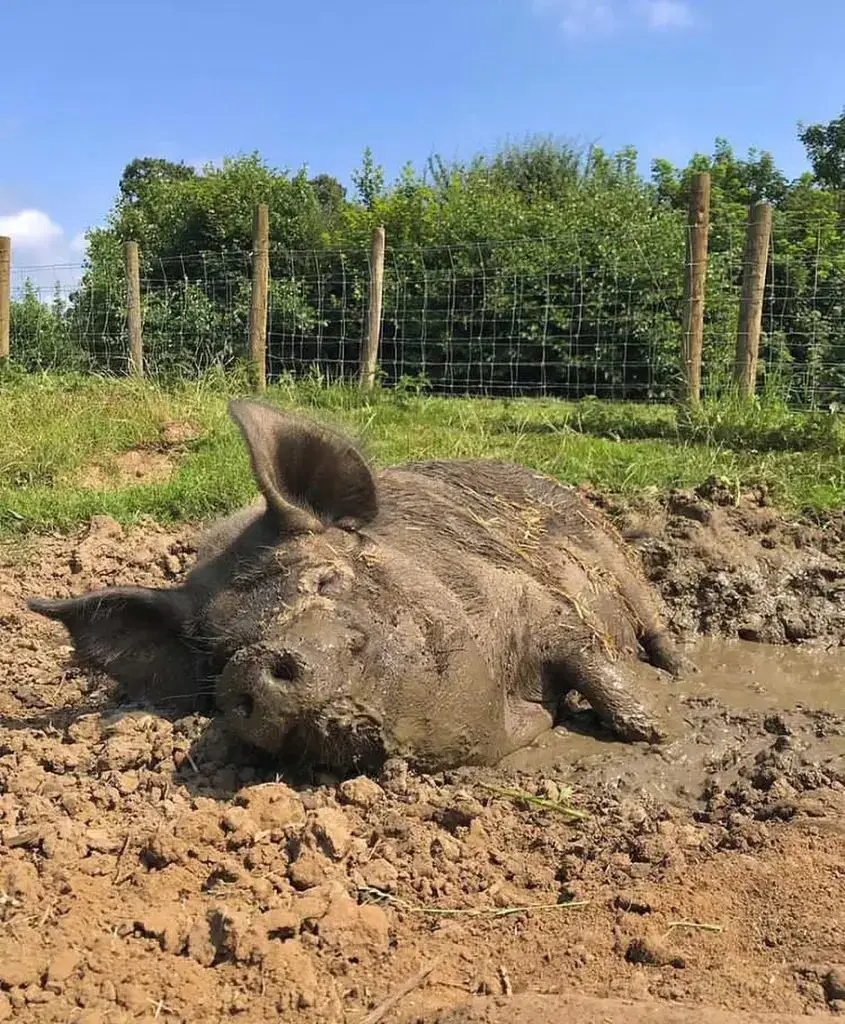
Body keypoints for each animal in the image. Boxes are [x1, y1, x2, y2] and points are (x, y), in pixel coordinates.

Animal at [28, 398, 689, 774]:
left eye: (324, 578)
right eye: (216, 658)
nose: (251, 664)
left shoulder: (538, 603)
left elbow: (589, 660)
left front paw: (656, 733)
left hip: (620, 560)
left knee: (656, 623)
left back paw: (679, 670)